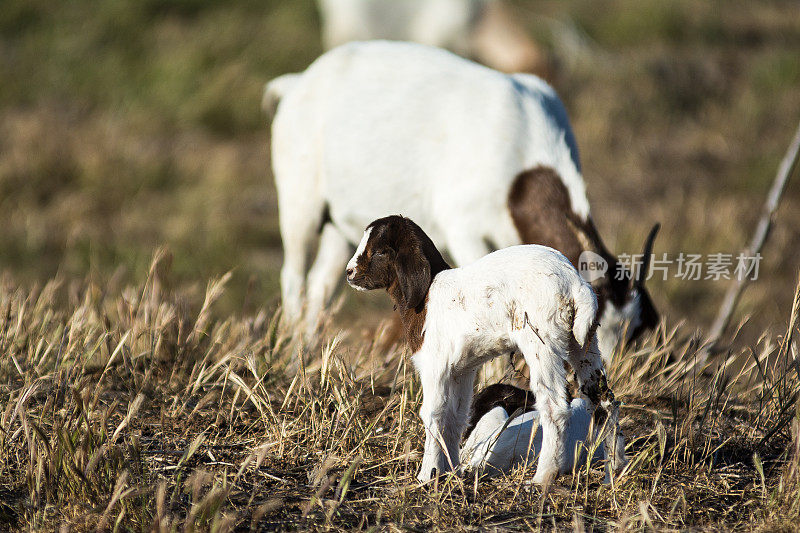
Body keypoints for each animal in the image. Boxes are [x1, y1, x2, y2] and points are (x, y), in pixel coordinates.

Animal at [268, 40, 656, 362]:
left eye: (634, 334)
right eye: (597, 324)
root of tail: (299, 83)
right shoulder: (463, 228)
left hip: (341, 227)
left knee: (321, 281)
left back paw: (308, 350)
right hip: (299, 202)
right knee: (293, 272)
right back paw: (291, 354)